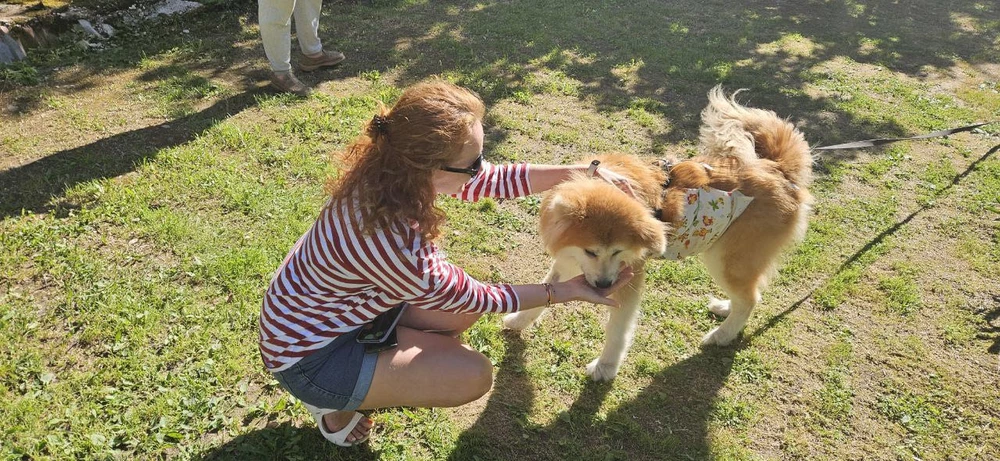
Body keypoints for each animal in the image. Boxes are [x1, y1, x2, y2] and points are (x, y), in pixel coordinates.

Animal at [504, 86, 816, 380]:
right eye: (590, 251)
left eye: (618, 251)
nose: (604, 285)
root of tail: (779, 170)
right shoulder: (569, 260)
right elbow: (547, 289)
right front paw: (519, 320)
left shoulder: (629, 277)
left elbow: (617, 331)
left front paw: (605, 368)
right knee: (750, 296)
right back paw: (726, 308)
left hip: (725, 259)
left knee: (750, 299)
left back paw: (721, 336)